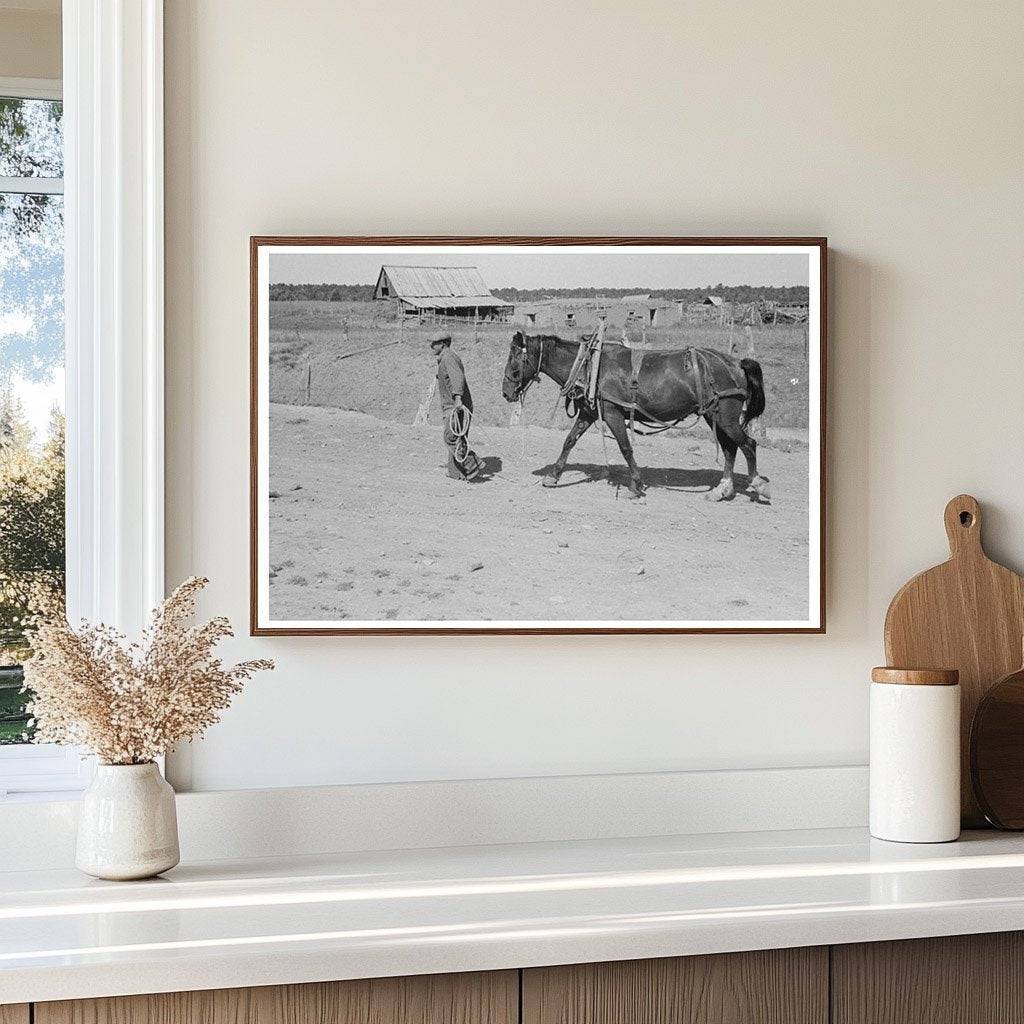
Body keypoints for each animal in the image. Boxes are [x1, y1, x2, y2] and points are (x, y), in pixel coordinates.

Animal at [499, 329, 770, 501]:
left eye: (515, 358)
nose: (505, 392)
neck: (589, 366)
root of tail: (737, 363)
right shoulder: (588, 413)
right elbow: (569, 441)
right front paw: (553, 477)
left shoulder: (613, 413)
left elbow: (625, 447)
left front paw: (636, 484)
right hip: (713, 415)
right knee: (730, 448)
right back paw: (722, 490)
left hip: (725, 416)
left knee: (747, 444)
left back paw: (757, 485)